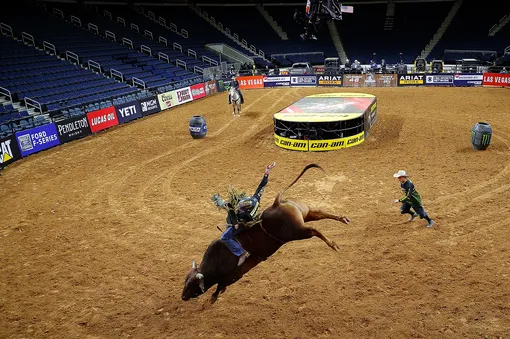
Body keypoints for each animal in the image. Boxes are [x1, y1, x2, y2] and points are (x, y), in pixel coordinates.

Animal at [180, 163, 350, 304]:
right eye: (185, 282)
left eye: (191, 285)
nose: (182, 297)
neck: (216, 261)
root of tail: (277, 203)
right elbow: (222, 284)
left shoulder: (236, 273)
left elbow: (221, 284)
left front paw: (213, 297)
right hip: (305, 214)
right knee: (319, 213)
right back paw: (343, 219)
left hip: (298, 232)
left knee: (314, 230)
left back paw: (333, 245)